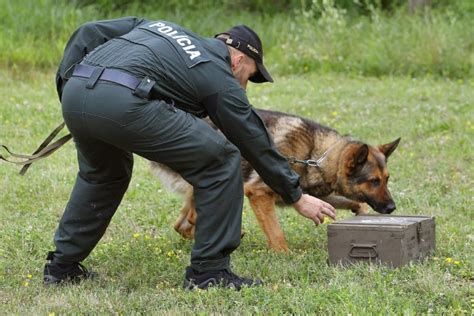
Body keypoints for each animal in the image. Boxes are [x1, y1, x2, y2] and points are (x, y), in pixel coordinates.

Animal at [151, 108, 400, 252]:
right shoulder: (260, 194)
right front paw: (284, 256)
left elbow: (353, 201)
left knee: (181, 225)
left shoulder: (316, 194)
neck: (315, 155)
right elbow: (276, 232)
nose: (392, 208)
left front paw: (362, 214)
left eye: (386, 179)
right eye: (374, 181)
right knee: (191, 220)